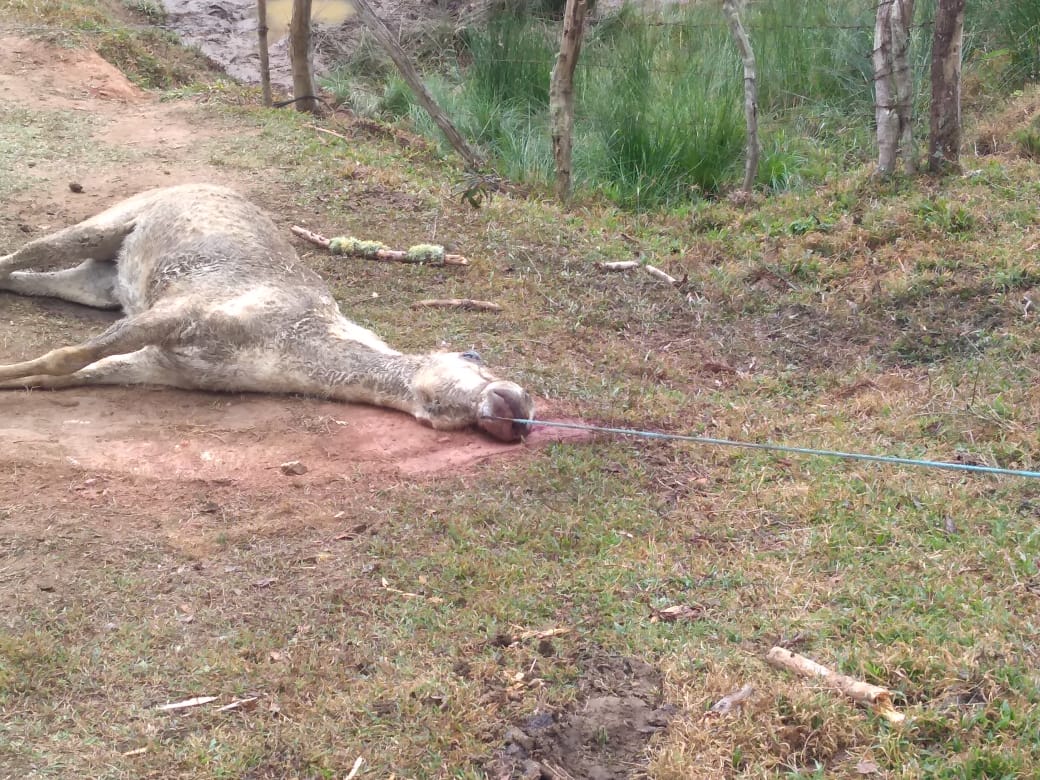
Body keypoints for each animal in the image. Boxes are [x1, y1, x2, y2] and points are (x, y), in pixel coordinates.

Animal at [0, 179, 536, 443]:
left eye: (450, 419)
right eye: (480, 365)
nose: (520, 413)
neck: (284, 345)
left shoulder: (161, 364)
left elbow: (67, 373)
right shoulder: (180, 312)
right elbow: (65, 357)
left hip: (99, 283)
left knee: (26, 279)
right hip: (104, 227)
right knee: (25, 254)